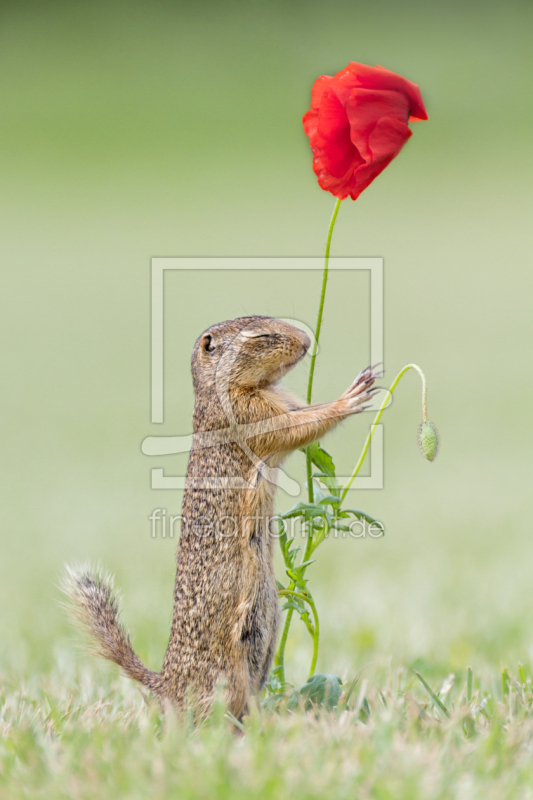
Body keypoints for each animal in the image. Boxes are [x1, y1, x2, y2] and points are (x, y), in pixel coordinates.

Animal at [65, 318, 378, 720]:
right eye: (261, 335)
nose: (307, 341)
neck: (223, 390)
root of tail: (164, 683)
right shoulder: (252, 416)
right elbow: (301, 424)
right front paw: (351, 396)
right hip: (228, 679)